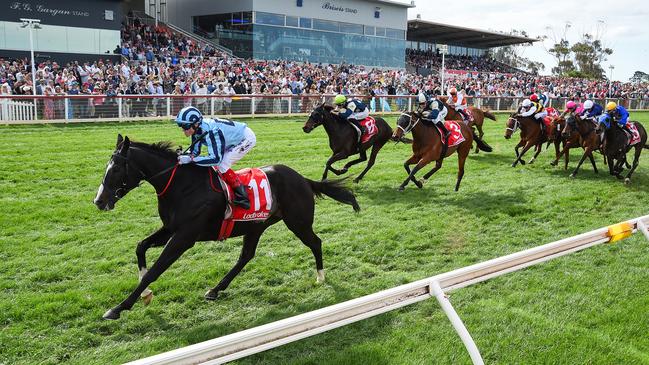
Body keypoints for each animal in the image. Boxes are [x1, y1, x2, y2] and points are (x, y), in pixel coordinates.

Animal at [93, 134, 360, 318]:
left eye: (116, 169)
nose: (99, 201)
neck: (182, 185)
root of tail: (303, 179)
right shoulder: (170, 228)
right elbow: (140, 247)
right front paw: (145, 295)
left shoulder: (184, 237)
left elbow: (155, 271)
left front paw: (119, 307)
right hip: (256, 226)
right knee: (246, 256)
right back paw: (215, 289)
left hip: (298, 222)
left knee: (315, 242)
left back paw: (321, 276)